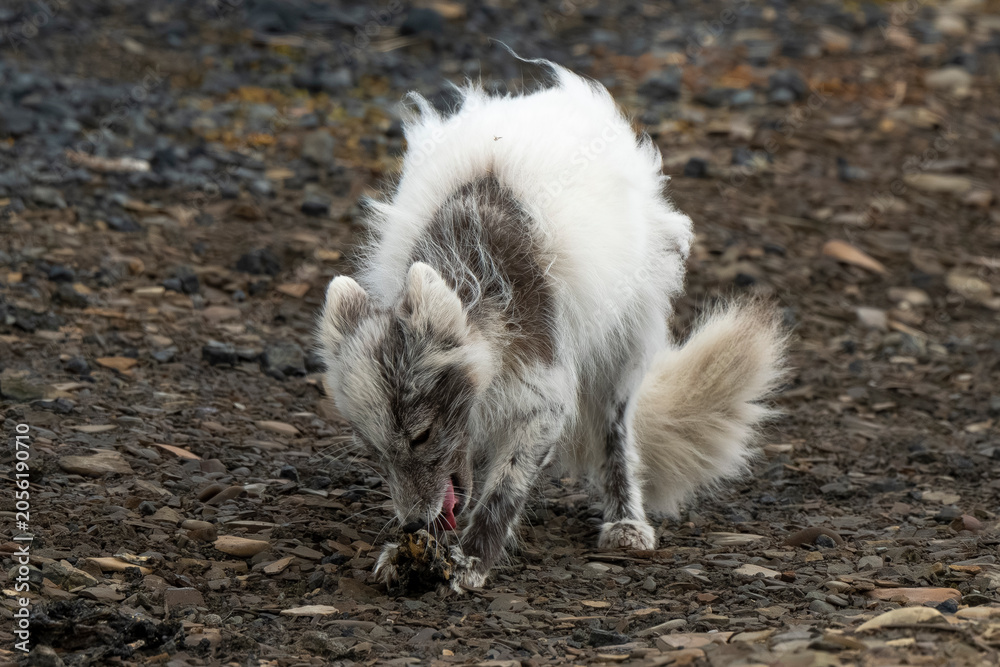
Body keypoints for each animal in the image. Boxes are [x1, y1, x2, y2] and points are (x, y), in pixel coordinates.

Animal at [316, 59, 787, 591]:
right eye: (374, 451)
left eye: (422, 435)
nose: (413, 522)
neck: (477, 274)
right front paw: (412, 553)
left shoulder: (545, 398)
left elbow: (505, 489)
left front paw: (472, 559)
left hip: (623, 349)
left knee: (616, 433)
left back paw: (627, 520)